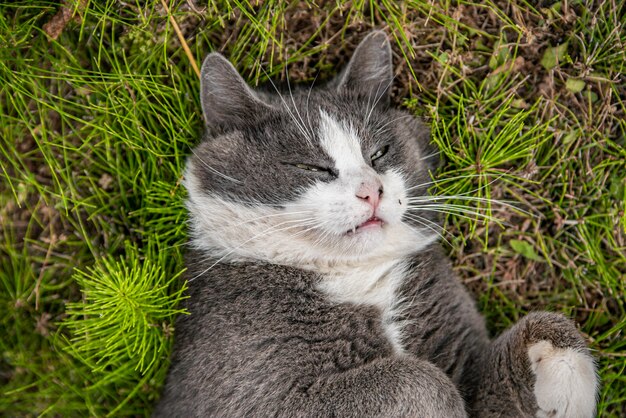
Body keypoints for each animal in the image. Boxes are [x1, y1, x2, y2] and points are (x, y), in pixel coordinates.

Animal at [154, 31, 596, 416]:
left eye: (379, 153)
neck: (356, 275)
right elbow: (416, 378)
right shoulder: (248, 394)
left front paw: (563, 388)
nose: (371, 190)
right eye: (311, 167)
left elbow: (548, 327)